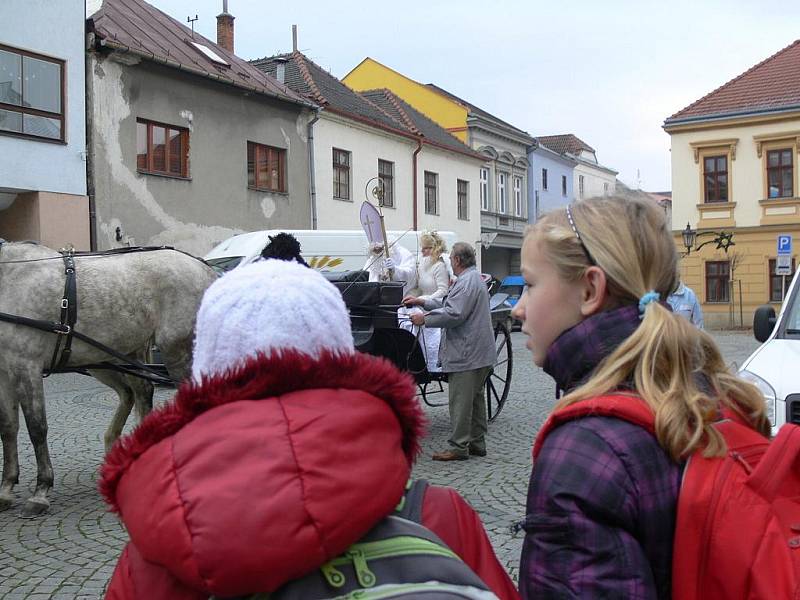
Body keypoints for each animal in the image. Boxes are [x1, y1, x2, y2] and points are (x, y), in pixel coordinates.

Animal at [0, 241, 217, 516]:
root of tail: (203, 267)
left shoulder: (26, 365)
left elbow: (37, 428)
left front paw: (41, 491)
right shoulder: (5, 372)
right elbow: (8, 428)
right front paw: (6, 489)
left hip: (177, 352)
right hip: (115, 357)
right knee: (137, 392)